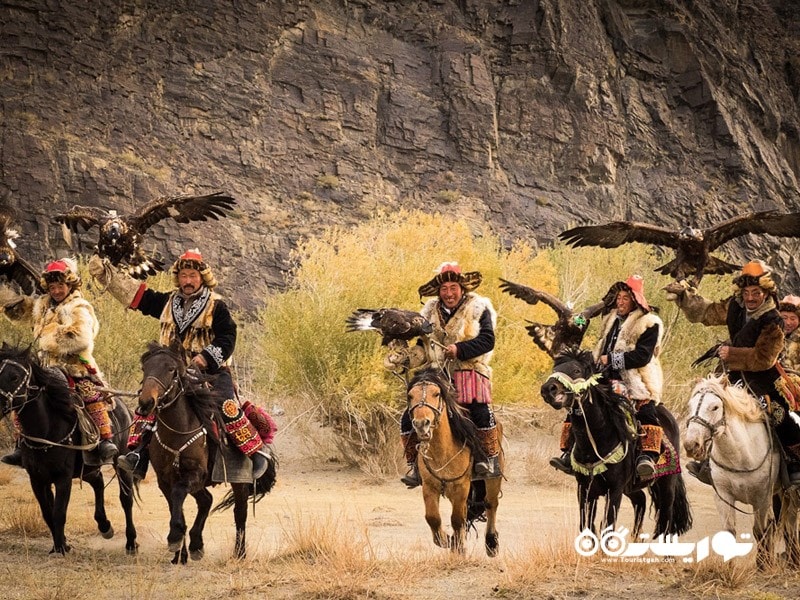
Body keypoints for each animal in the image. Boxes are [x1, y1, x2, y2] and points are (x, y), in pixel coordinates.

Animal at [0, 344, 138, 556]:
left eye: (14, 376)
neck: (47, 429)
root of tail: (124, 407)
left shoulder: (63, 477)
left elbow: (59, 512)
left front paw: (60, 548)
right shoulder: (37, 479)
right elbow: (47, 513)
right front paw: (61, 544)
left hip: (121, 461)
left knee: (126, 499)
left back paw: (131, 543)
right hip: (88, 466)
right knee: (98, 482)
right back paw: (104, 525)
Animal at [138, 342, 276, 564]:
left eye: (171, 369)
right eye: (145, 368)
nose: (145, 403)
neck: (177, 431)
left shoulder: (194, 474)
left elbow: (179, 495)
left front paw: (175, 537)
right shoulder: (164, 478)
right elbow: (175, 505)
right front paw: (179, 548)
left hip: (239, 482)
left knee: (239, 512)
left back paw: (239, 553)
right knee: (206, 500)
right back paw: (193, 547)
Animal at [406, 368, 500, 556]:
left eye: (436, 394)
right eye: (410, 396)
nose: (421, 424)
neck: (442, 451)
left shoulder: (461, 486)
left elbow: (457, 519)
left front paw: (456, 544)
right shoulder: (429, 486)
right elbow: (433, 517)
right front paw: (446, 540)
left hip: (493, 479)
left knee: (491, 504)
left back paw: (491, 543)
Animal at [540, 346, 692, 540]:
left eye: (576, 370)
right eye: (555, 370)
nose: (547, 389)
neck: (596, 442)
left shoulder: (614, 490)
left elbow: (608, 527)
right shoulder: (585, 489)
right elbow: (587, 526)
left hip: (666, 485)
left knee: (665, 519)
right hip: (631, 488)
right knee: (641, 500)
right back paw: (635, 538)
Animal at [680, 376, 800, 568]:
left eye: (715, 407)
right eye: (690, 406)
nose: (692, 445)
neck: (740, 456)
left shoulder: (762, 499)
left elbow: (761, 530)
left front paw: (763, 565)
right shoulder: (723, 497)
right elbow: (729, 533)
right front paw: (728, 568)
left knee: (789, 523)